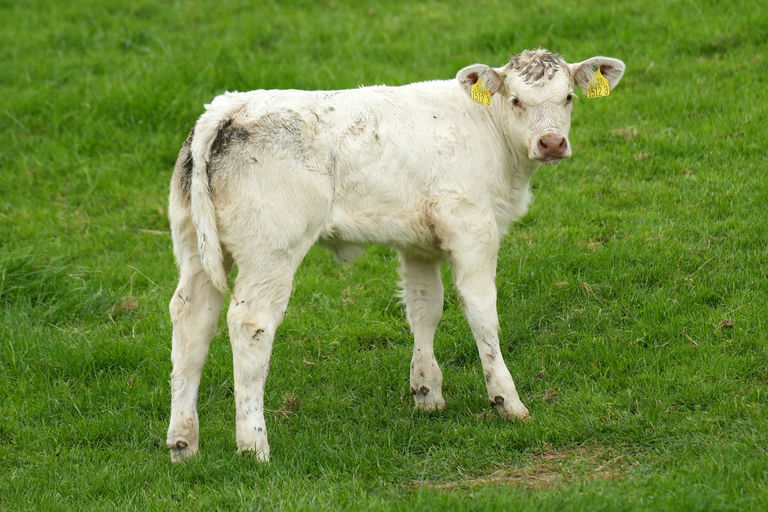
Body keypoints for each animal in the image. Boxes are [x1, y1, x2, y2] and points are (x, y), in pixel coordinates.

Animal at [165, 49, 625, 462]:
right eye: (515, 100)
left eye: (568, 97)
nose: (551, 143)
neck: (489, 133)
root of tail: (228, 106)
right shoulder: (472, 228)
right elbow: (482, 311)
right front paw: (506, 401)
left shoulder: (419, 241)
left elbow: (425, 307)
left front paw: (426, 392)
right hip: (271, 251)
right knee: (250, 324)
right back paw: (254, 445)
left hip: (195, 249)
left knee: (192, 320)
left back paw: (184, 443)